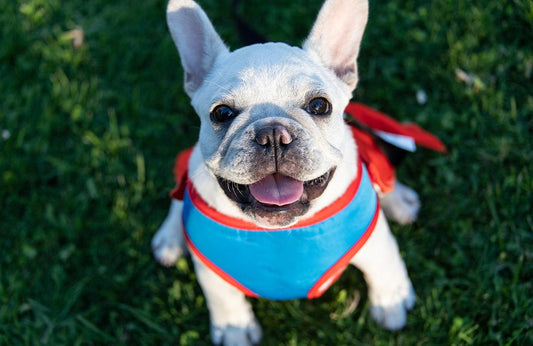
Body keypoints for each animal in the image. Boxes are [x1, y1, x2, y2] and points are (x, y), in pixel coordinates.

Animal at [152, 0, 422, 344]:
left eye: (320, 106)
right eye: (221, 113)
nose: (272, 135)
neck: (282, 232)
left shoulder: (375, 240)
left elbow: (384, 266)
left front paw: (391, 300)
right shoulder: (210, 272)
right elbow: (224, 299)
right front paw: (234, 328)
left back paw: (399, 199)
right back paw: (170, 238)